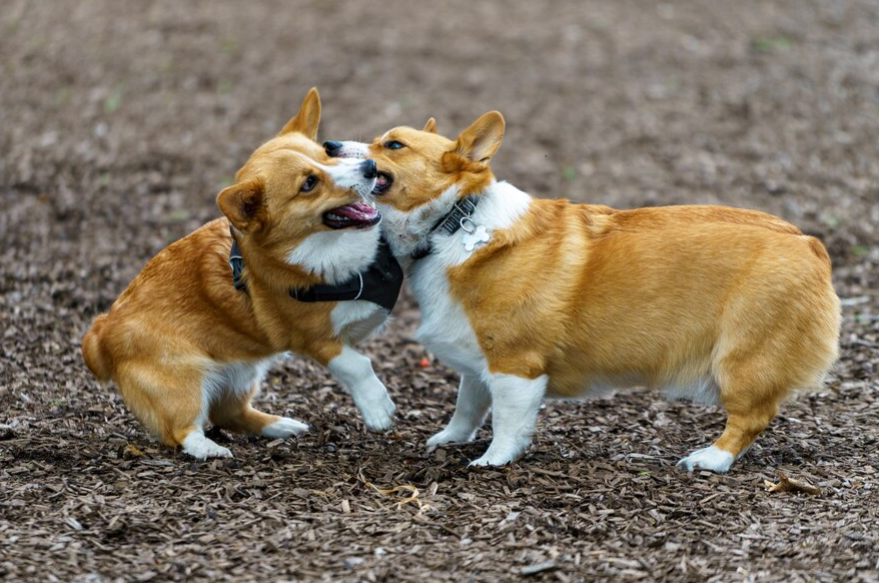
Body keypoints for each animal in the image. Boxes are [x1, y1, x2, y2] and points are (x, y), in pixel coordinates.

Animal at [81, 89, 398, 458]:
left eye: (325, 153)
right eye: (308, 183)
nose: (370, 167)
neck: (324, 249)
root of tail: (101, 332)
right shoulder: (315, 340)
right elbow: (357, 365)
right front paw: (378, 409)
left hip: (243, 372)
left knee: (230, 413)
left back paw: (280, 426)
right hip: (185, 380)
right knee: (182, 430)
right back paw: (210, 450)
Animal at [326, 112, 844, 472]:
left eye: (393, 144)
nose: (328, 143)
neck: (455, 220)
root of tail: (809, 242)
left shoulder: (515, 364)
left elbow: (507, 421)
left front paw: (492, 460)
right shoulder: (478, 355)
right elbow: (468, 404)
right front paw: (450, 439)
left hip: (741, 359)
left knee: (751, 418)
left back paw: (710, 459)